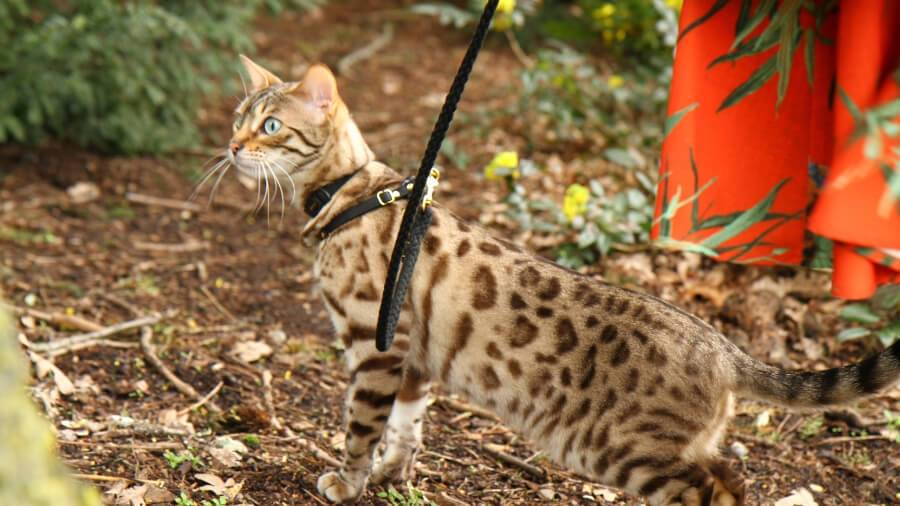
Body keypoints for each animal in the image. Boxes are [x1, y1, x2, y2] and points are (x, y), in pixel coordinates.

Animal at [221, 55, 900, 502]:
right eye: (236, 119)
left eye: (271, 127)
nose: (230, 148)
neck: (350, 194)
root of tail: (723, 346)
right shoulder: (413, 357)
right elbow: (406, 427)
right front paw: (393, 478)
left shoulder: (375, 345)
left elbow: (363, 427)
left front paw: (348, 482)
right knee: (732, 479)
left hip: (618, 448)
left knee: (708, 490)